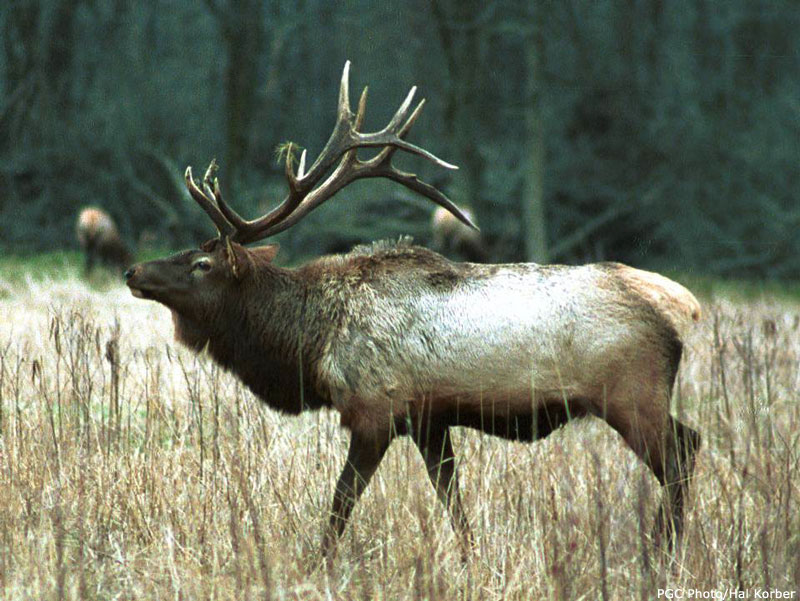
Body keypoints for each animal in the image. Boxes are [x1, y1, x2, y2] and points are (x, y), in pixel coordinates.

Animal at [125, 62, 702, 559]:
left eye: (200, 263)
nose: (133, 272)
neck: (311, 344)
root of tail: (680, 303)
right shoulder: (429, 420)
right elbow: (452, 501)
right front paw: (469, 559)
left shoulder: (374, 410)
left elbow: (341, 503)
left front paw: (317, 563)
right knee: (691, 442)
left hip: (631, 395)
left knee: (679, 457)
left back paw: (660, 555)